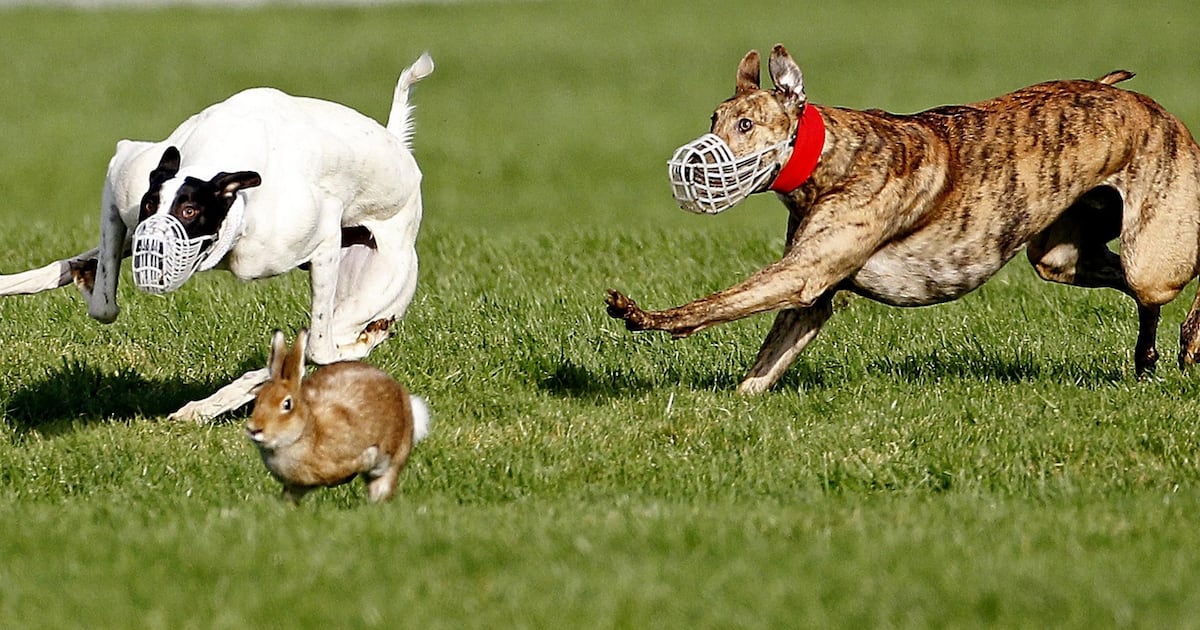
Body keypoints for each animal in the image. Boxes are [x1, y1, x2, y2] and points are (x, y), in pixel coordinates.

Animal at [246, 329, 431, 504]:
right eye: (258, 398)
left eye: (287, 404)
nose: (254, 429)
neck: (307, 430)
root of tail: (405, 399)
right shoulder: (295, 487)